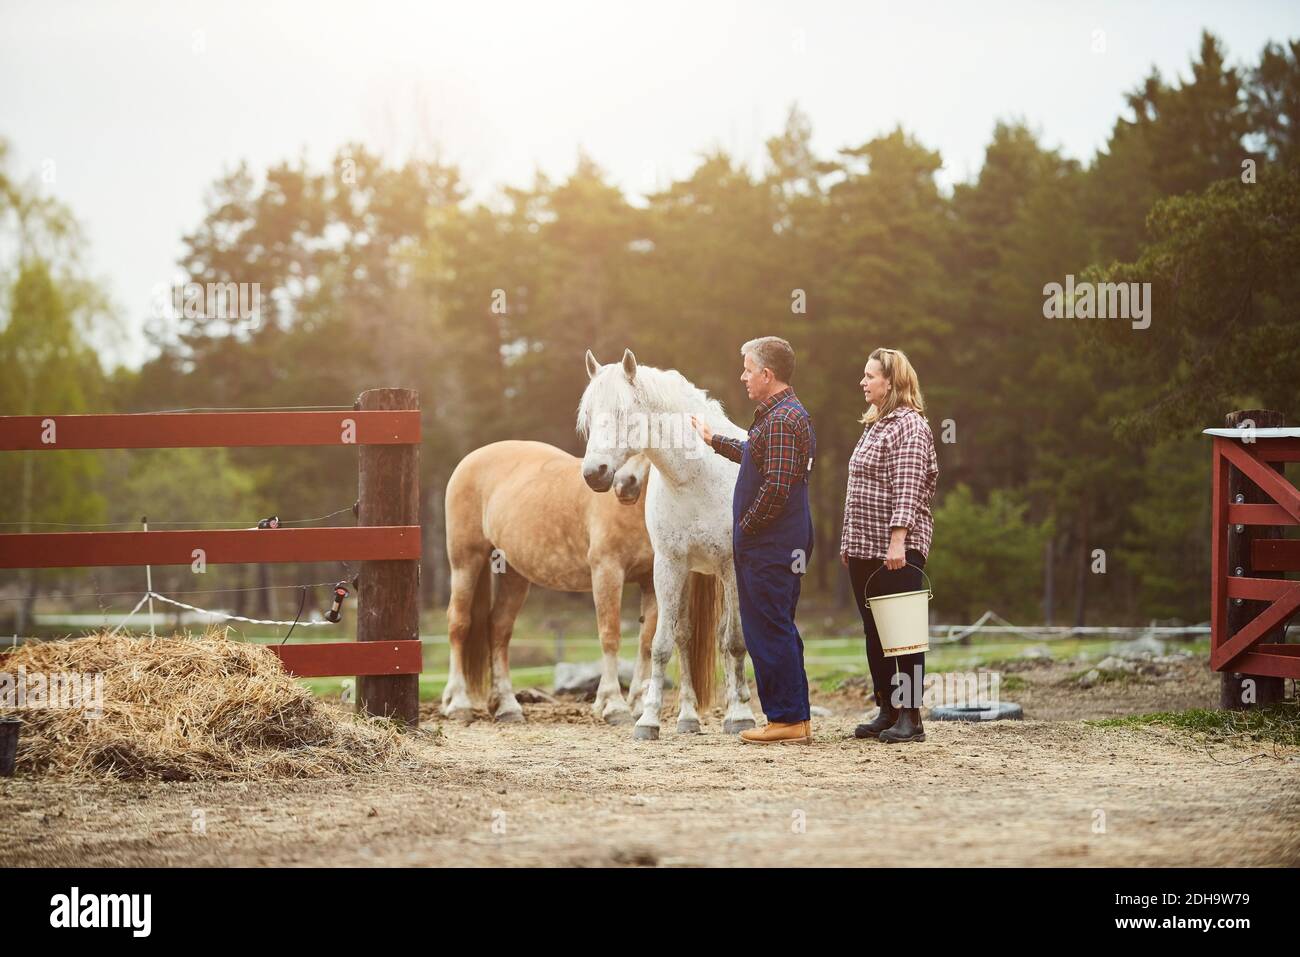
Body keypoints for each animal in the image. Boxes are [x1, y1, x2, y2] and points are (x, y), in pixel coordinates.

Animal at [441, 444, 696, 722]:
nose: (624, 484)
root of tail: (472, 458)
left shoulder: (651, 580)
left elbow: (646, 642)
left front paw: (638, 705)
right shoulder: (607, 571)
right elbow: (610, 635)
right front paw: (612, 704)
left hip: (513, 574)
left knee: (499, 628)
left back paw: (507, 707)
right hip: (465, 561)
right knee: (459, 623)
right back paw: (458, 704)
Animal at [574, 348, 759, 738]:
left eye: (622, 413)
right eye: (589, 416)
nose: (595, 474)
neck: (696, 479)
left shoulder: (731, 567)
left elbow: (734, 642)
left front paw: (740, 716)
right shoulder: (668, 566)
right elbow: (662, 644)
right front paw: (648, 720)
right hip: (690, 573)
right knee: (685, 637)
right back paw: (688, 718)